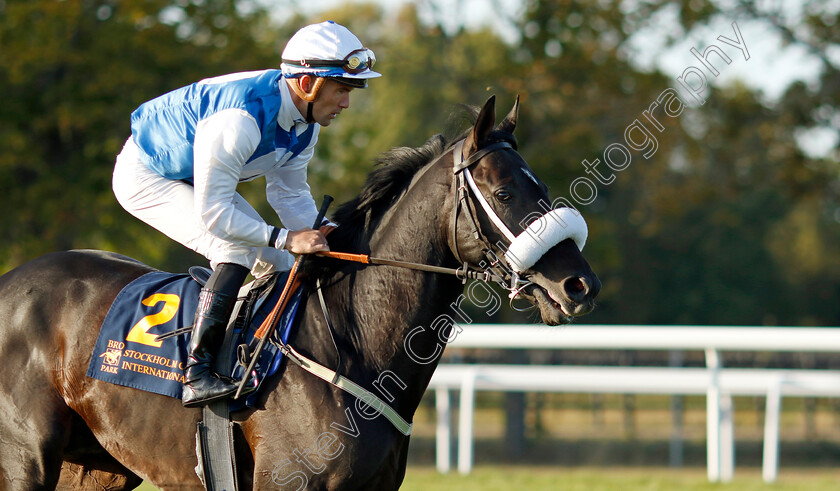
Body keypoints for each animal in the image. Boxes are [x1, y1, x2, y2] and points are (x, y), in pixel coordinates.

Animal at [0, 97, 596, 491]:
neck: (350, 344)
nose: (579, 284)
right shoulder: (286, 483)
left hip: (97, 466)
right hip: (25, 457)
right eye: (505, 192)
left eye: (543, 188)